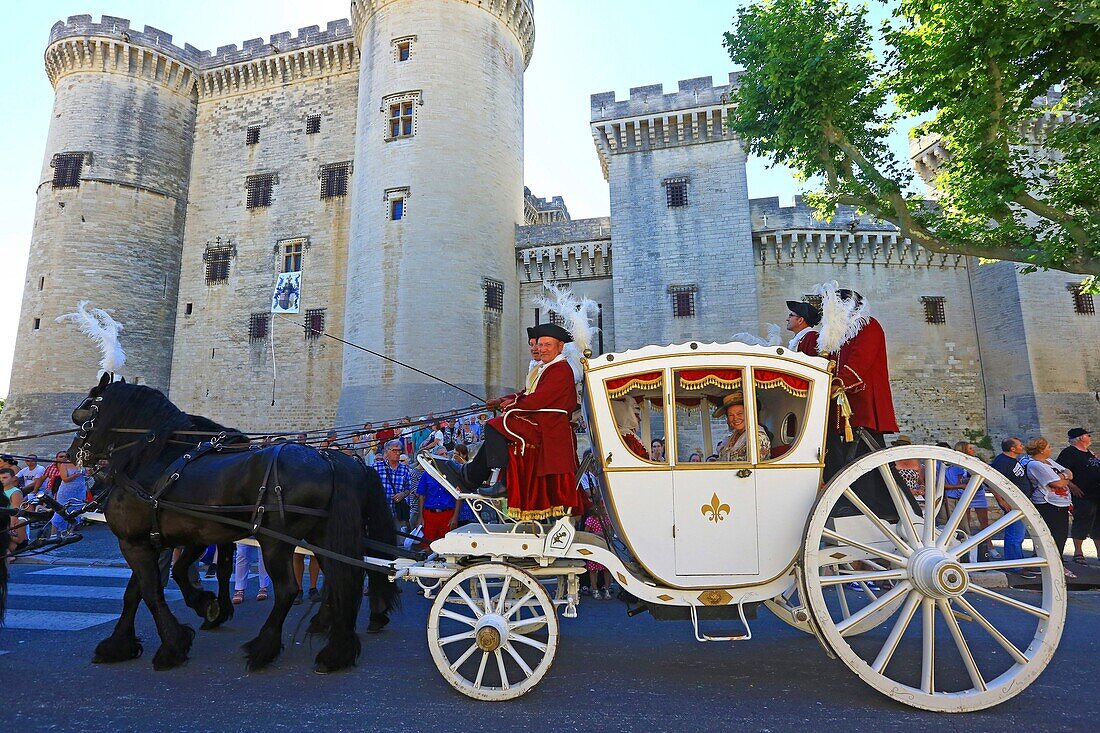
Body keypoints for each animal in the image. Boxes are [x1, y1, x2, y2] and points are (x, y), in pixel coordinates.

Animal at [67, 374, 400, 669]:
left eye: (83, 414)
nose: (71, 455)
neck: (154, 457)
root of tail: (329, 459)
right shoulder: (164, 539)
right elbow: (143, 588)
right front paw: (121, 643)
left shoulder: (134, 542)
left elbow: (151, 592)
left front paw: (173, 645)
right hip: (322, 536)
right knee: (342, 578)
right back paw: (336, 650)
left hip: (275, 541)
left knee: (289, 590)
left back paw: (264, 649)